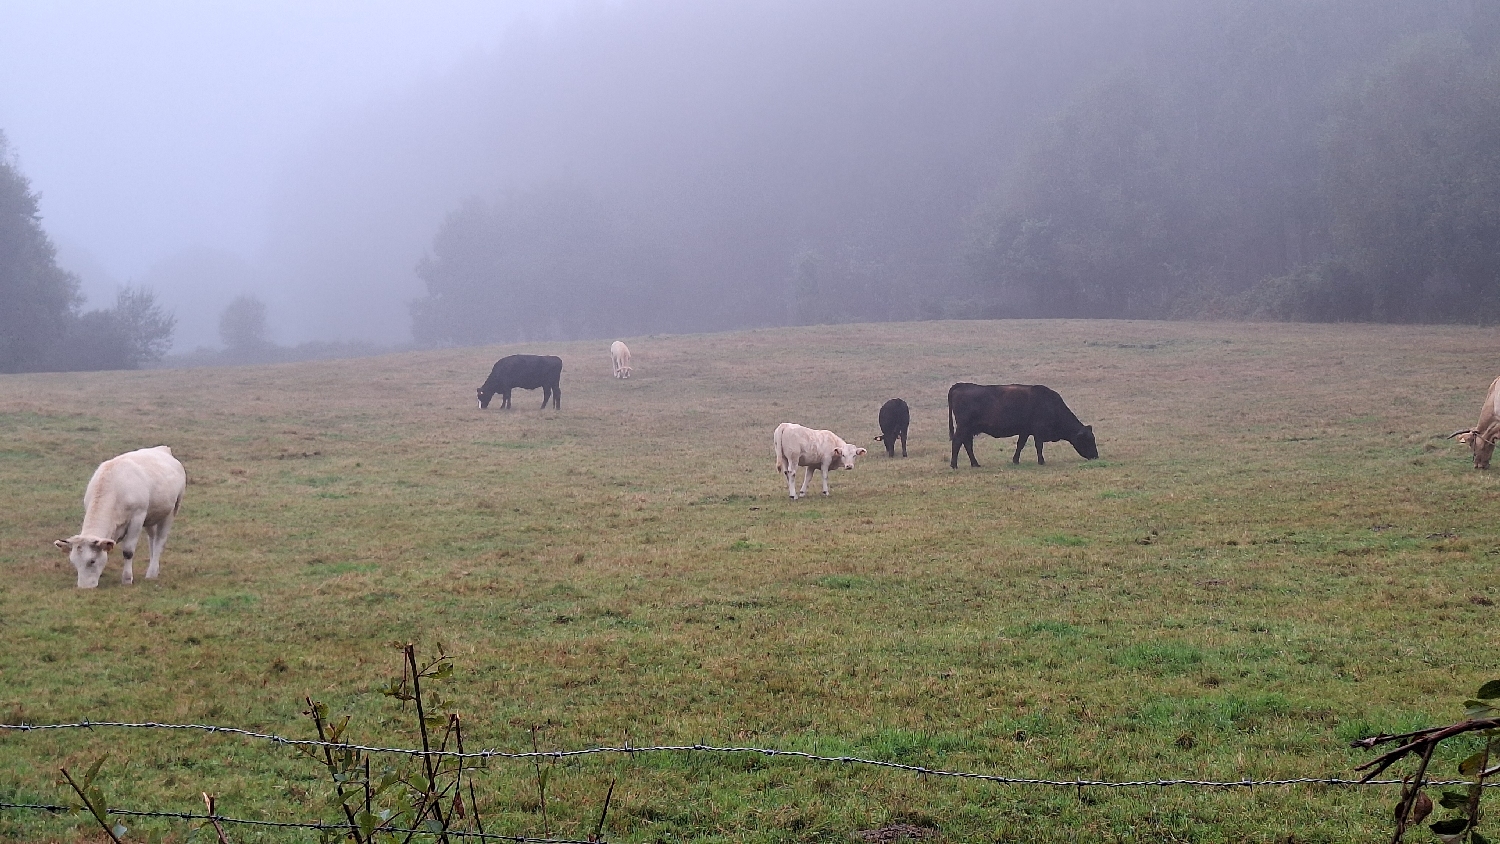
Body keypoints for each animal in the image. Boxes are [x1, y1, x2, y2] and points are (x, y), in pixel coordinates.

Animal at [55, 446, 186, 590]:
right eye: (73, 562)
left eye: (92, 561)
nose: (84, 587)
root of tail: (162, 449)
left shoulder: (137, 517)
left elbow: (128, 551)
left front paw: (127, 579)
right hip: (151, 516)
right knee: (152, 539)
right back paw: (154, 568)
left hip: (171, 510)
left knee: (160, 540)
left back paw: (151, 573)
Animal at [954, 383, 1098, 467]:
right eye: (1088, 440)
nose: (1096, 456)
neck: (1050, 404)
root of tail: (960, 386)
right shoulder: (1038, 432)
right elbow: (1039, 446)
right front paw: (1041, 461)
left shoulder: (1025, 431)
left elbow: (1020, 445)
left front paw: (1015, 460)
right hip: (963, 428)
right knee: (957, 442)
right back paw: (954, 464)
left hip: (968, 430)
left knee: (966, 444)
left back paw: (975, 463)